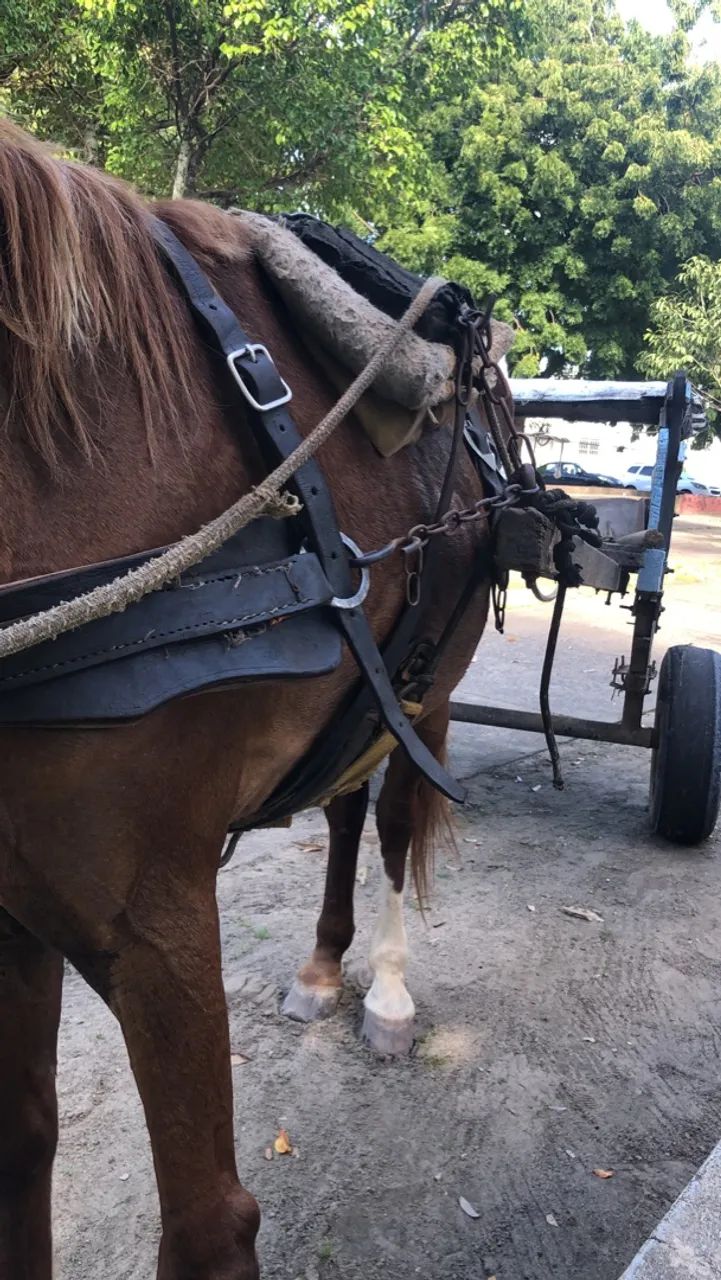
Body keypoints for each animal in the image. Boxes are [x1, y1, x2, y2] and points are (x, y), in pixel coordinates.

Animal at [0, 120, 508, 1279]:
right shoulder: (10, 910)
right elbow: (22, 1143)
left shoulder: (155, 920)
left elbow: (209, 1220)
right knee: (344, 806)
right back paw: (323, 965)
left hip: (431, 690)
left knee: (395, 824)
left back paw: (387, 991)